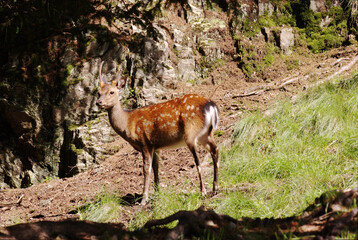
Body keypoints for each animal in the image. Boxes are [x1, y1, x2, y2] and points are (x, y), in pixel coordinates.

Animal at [96, 61, 218, 204]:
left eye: (111, 92)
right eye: (98, 92)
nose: (98, 102)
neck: (128, 122)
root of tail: (211, 105)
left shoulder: (144, 142)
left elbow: (146, 169)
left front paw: (144, 199)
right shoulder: (156, 146)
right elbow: (156, 168)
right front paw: (157, 192)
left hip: (191, 133)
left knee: (198, 160)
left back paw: (203, 191)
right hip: (206, 134)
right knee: (215, 149)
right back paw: (215, 187)